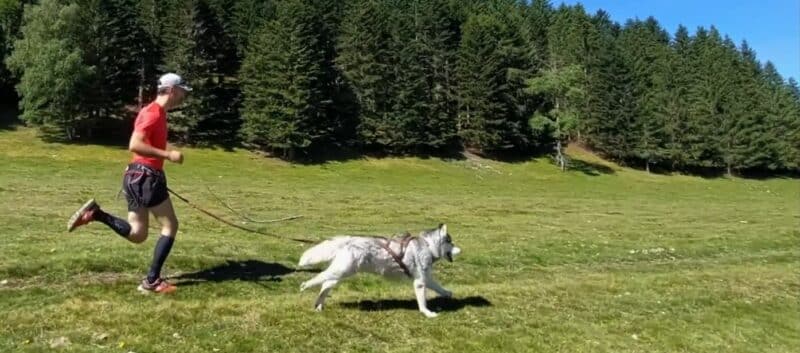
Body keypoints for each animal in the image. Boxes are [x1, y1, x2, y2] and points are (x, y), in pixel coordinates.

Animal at [298, 224, 462, 318]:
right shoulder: (420, 282)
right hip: (340, 271)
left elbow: (438, 287)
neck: (428, 246)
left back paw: (319, 306)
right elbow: (422, 302)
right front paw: (427, 313)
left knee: (325, 285)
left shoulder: (426, 278)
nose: (461, 250)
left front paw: (447, 293)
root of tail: (350, 240)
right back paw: (306, 286)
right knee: (319, 277)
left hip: (340, 273)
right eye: (451, 242)